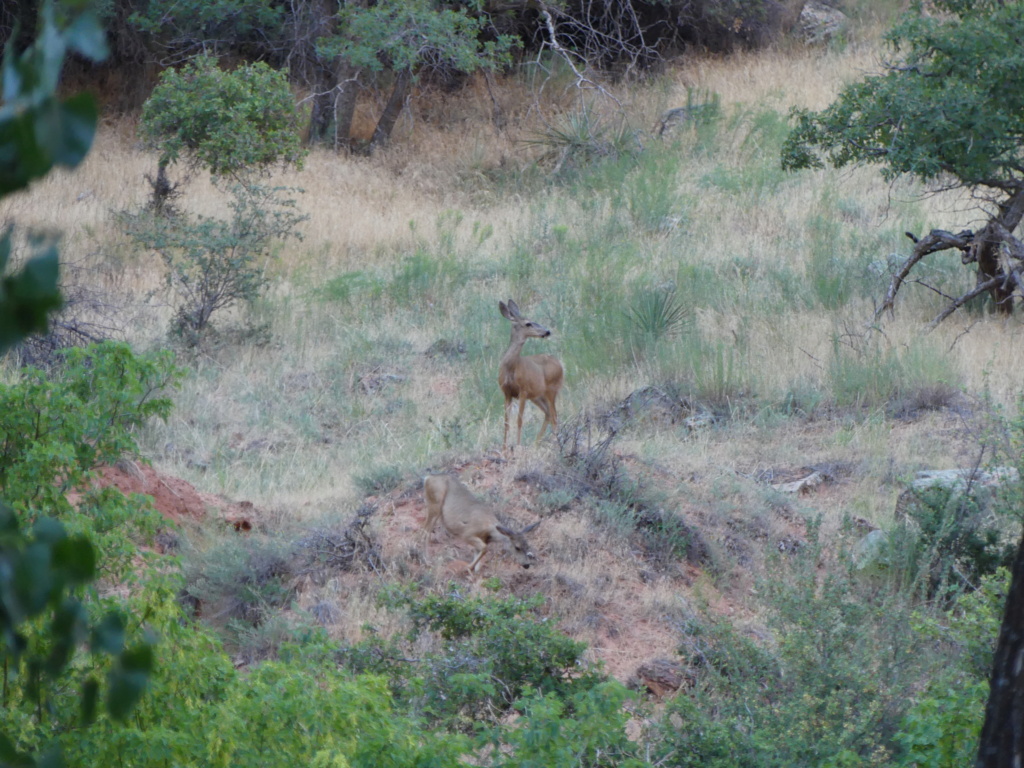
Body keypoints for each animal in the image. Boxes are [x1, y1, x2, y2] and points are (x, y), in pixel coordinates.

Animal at [495, 296, 561, 448]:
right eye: (528, 323)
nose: (547, 331)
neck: (511, 368)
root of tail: (560, 364)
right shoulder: (507, 392)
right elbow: (506, 422)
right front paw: (504, 448)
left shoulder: (523, 390)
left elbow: (519, 420)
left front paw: (517, 446)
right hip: (537, 396)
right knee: (549, 413)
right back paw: (536, 443)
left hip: (552, 389)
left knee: (555, 416)